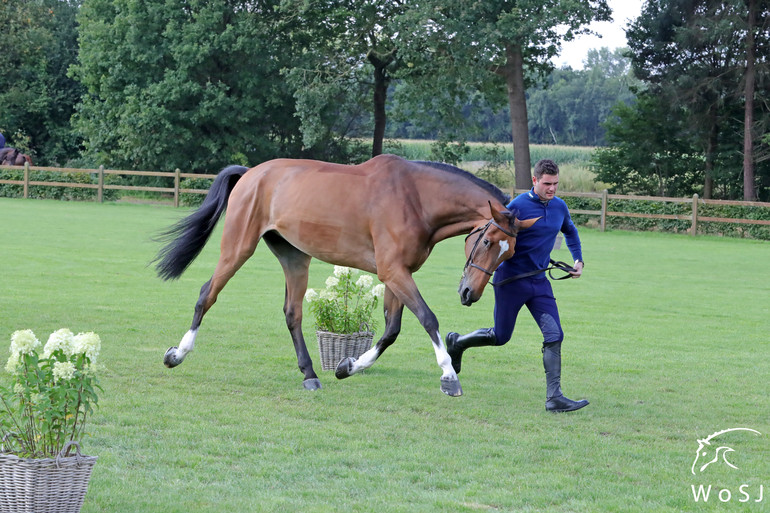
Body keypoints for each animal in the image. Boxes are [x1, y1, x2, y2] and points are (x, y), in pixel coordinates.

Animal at [154, 154, 536, 394]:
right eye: (486, 240)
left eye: (510, 253)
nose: (469, 294)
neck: (415, 198)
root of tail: (251, 174)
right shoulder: (394, 272)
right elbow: (428, 318)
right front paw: (449, 376)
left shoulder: (397, 274)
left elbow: (392, 330)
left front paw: (347, 366)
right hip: (238, 247)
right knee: (207, 295)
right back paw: (176, 355)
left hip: (295, 257)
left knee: (292, 313)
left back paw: (310, 375)